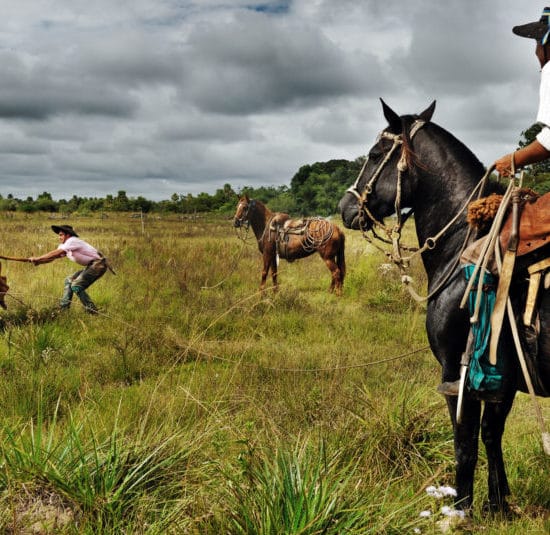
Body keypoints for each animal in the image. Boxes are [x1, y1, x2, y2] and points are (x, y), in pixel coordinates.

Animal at [340, 99, 550, 516]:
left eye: (375, 155)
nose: (345, 208)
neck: (464, 242)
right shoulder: (504, 379)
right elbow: (492, 434)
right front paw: (499, 504)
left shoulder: (458, 372)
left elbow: (465, 444)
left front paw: (461, 509)